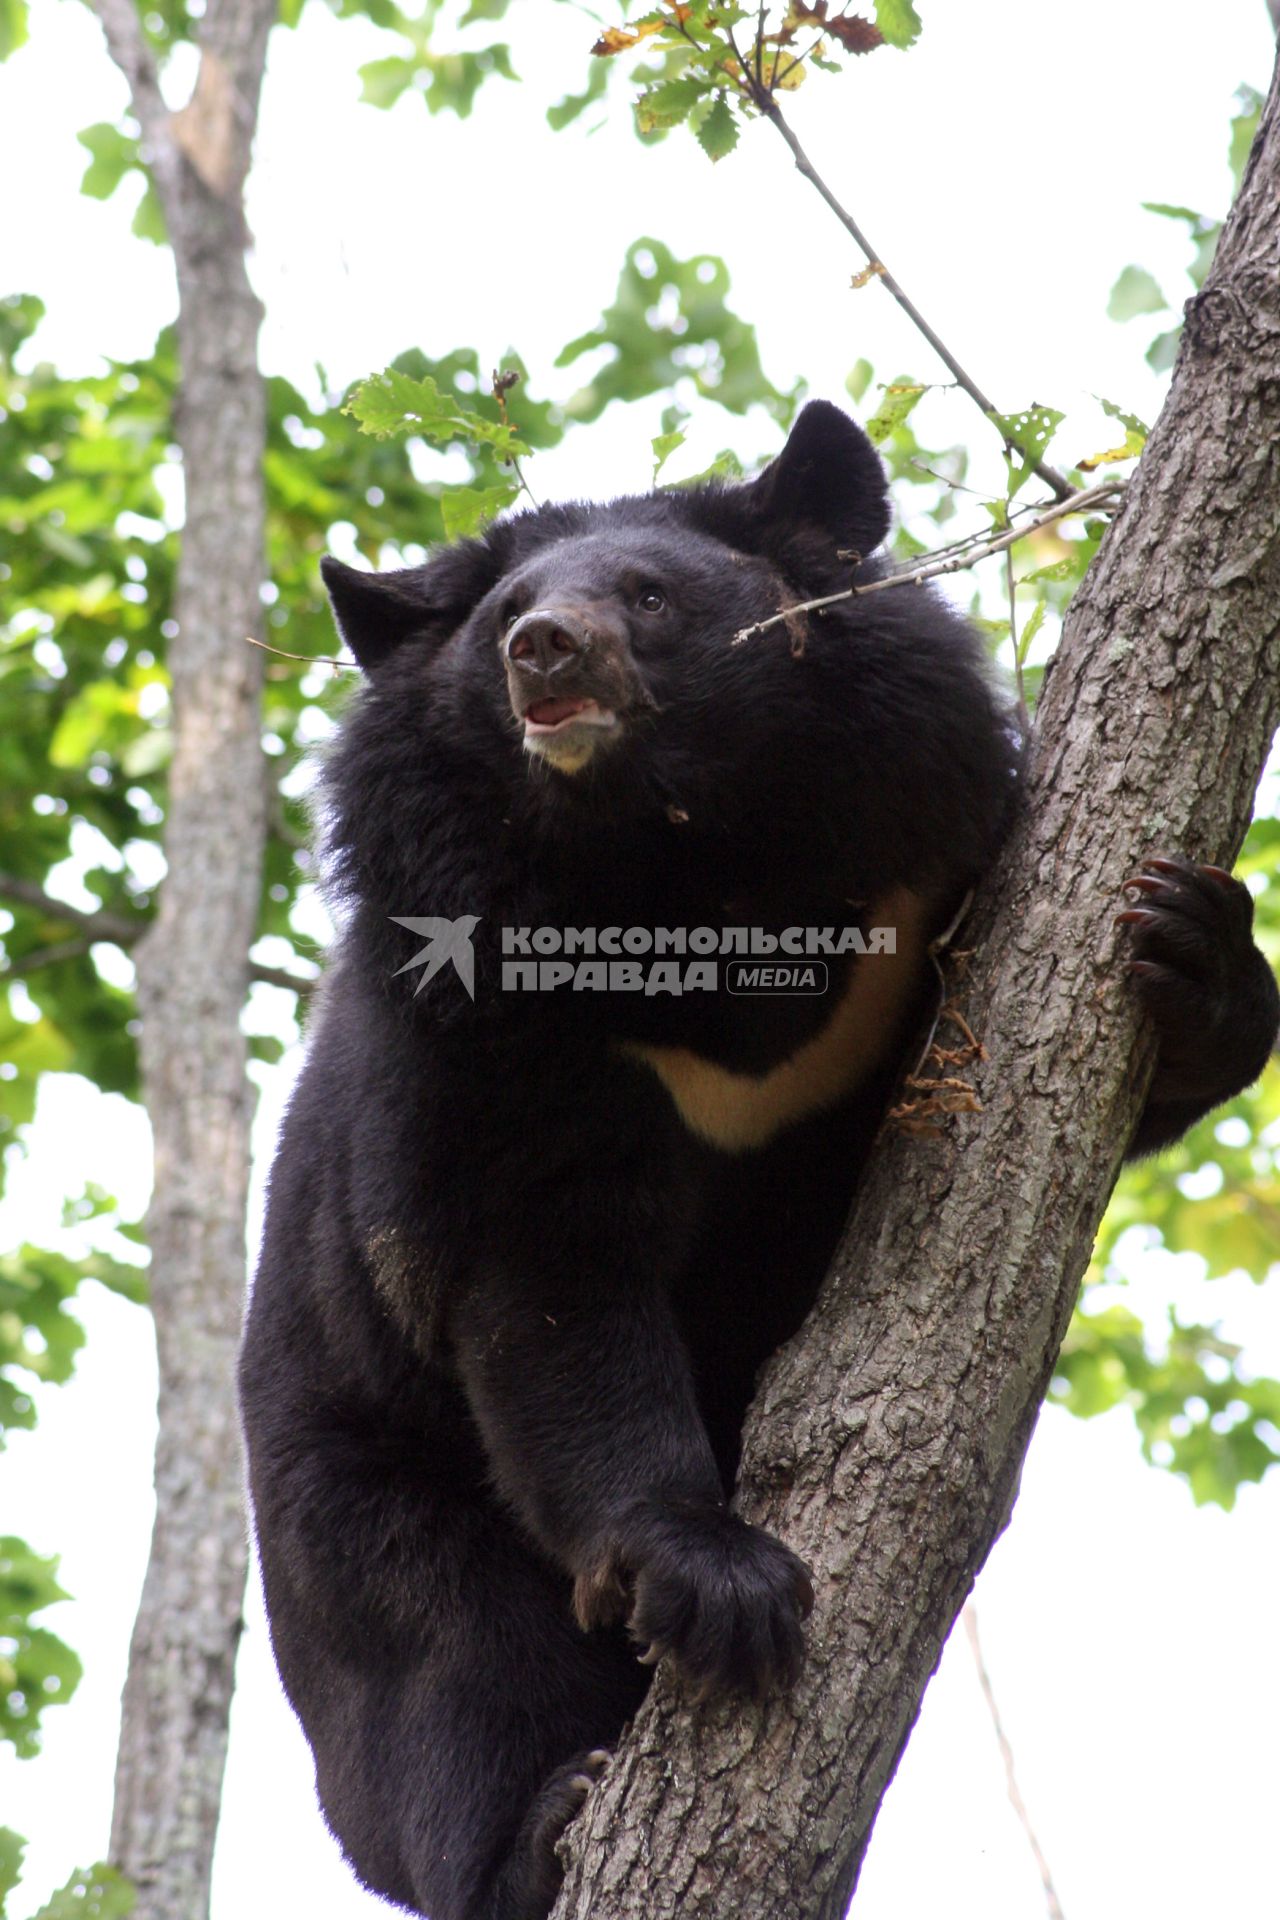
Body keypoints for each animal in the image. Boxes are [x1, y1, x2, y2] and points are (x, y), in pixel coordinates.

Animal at [239, 405, 1280, 1920]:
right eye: (502, 615)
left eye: (648, 597)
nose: (542, 651)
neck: (681, 866)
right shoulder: (477, 1032)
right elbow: (546, 1290)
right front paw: (713, 1582)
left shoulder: (918, 875)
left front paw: (1194, 947)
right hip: (353, 1503)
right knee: (448, 1676)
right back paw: (540, 1829)